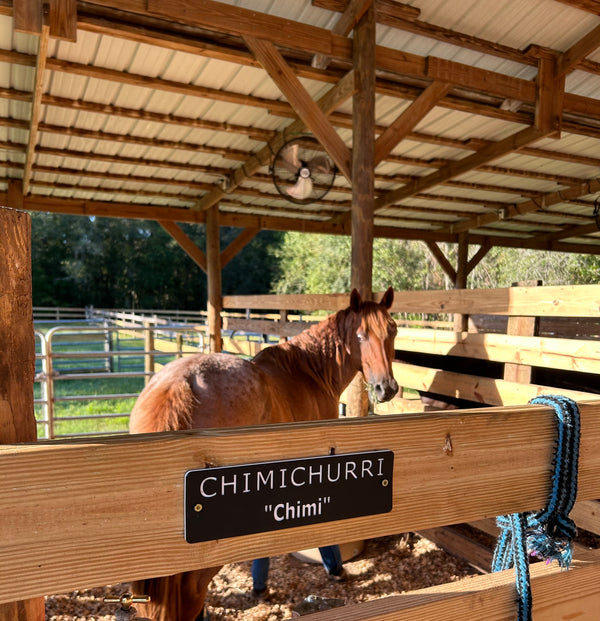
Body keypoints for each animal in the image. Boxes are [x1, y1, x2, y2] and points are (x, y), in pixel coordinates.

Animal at [127, 286, 398, 620]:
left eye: (392, 330)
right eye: (361, 335)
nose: (387, 388)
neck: (309, 371)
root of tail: (178, 385)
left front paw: (260, 583)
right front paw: (334, 566)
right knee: (191, 592)